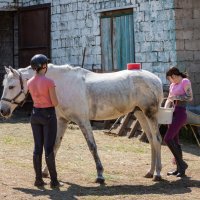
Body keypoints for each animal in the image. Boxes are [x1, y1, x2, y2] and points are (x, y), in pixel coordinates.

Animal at [0, 65, 163, 183]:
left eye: (11, 86)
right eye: (4, 85)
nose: (3, 110)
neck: (62, 84)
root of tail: (156, 79)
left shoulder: (83, 121)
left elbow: (92, 146)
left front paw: (100, 175)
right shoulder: (62, 121)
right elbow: (54, 146)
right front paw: (46, 172)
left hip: (150, 114)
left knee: (157, 140)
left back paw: (157, 173)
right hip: (140, 114)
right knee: (151, 140)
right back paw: (150, 172)